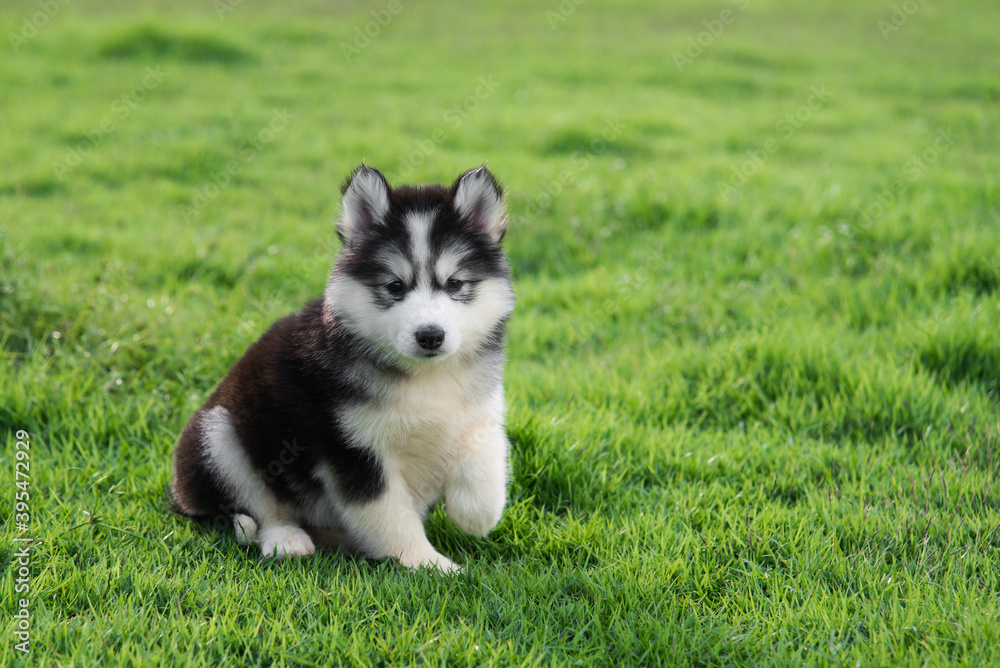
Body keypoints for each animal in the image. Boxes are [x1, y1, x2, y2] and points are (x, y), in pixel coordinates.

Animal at [170, 164, 516, 572]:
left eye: (455, 283)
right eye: (394, 286)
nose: (430, 336)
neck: (425, 377)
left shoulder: (481, 404)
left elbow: (484, 443)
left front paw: (476, 512)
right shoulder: (353, 449)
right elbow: (390, 515)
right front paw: (429, 564)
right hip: (217, 434)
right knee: (260, 508)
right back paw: (287, 539)